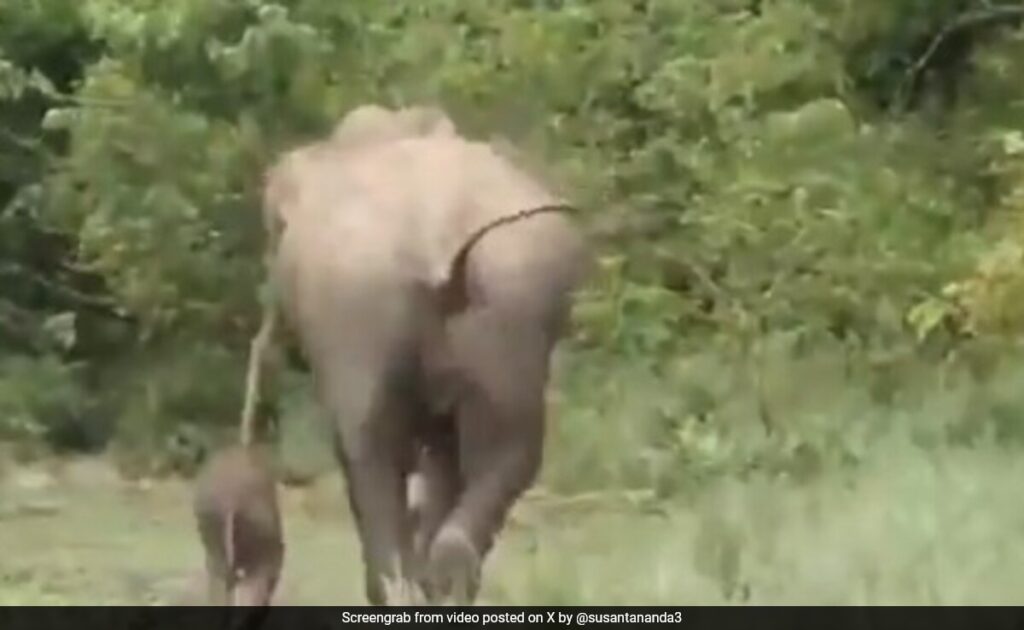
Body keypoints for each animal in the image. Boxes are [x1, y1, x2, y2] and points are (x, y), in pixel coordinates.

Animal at [257, 104, 591, 604]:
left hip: (360, 302)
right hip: (511, 295)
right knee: (510, 447)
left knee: (369, 450)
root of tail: (433, 238)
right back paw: (446, 575)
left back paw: (397, 589)